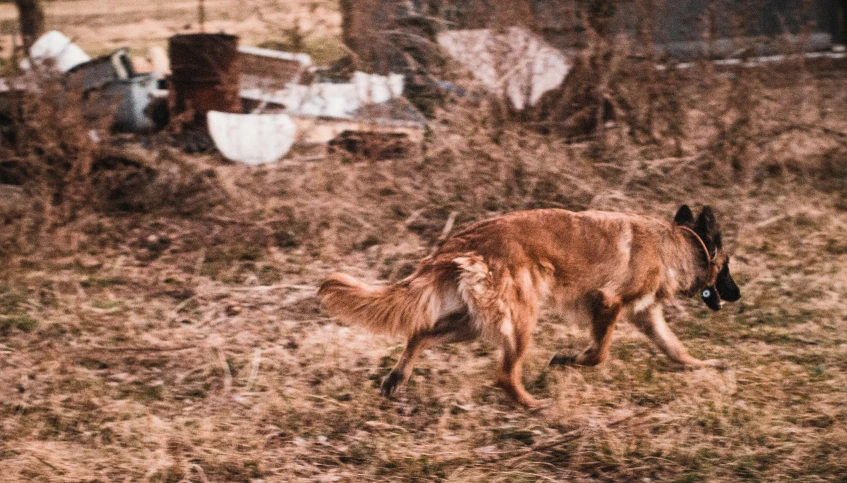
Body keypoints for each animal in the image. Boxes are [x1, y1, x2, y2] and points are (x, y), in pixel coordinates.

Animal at [318, 206, 744, 406]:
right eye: (727, 268)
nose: (738, 294)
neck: (675, 244)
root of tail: (458, 241)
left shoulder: (645, 316)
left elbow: (675, 348)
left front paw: (702, 366)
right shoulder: (608, 304)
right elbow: (600, 352)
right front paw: (569, 360)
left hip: (471, 324)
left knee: (420, 333)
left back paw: (396, 379)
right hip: (521, 322)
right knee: (505, 375)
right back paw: (532, 404)